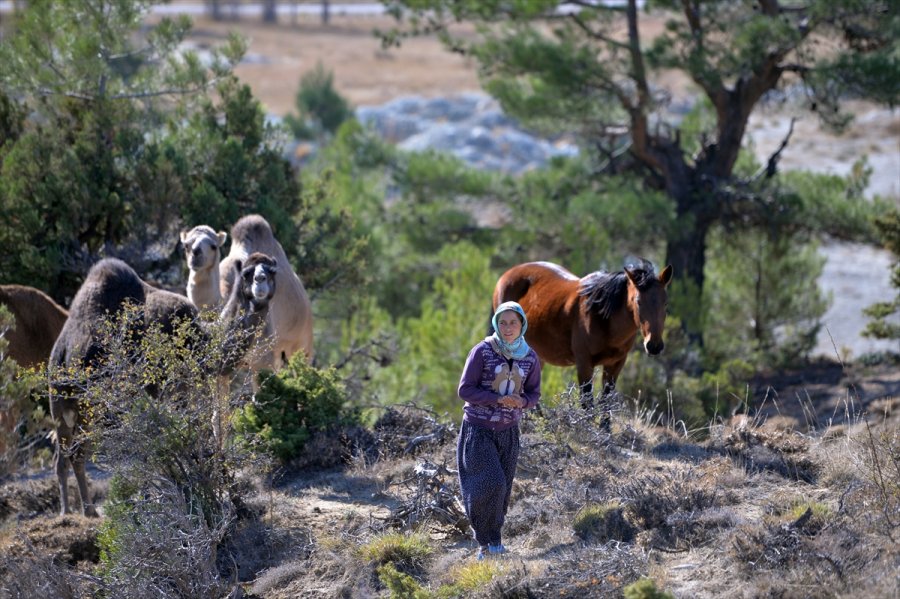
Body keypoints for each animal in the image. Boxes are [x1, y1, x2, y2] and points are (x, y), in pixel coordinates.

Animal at [48, 255, 274, 516]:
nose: (260, 282)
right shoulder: (176, 389)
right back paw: (79, 512)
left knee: (68, 455)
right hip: (84, 405)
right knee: (71, 454)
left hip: (72, 406)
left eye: (273, 270)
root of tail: (62, 351)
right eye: (247, 273)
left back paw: (76, 511)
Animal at [496, 260, 672, 420]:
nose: (654, 345)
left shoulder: (615, 364)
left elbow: (606, 403)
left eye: (665, 303)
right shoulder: (584, 363)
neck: (602, 317)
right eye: (638, 301)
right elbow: (587, 403)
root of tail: (508, 273)